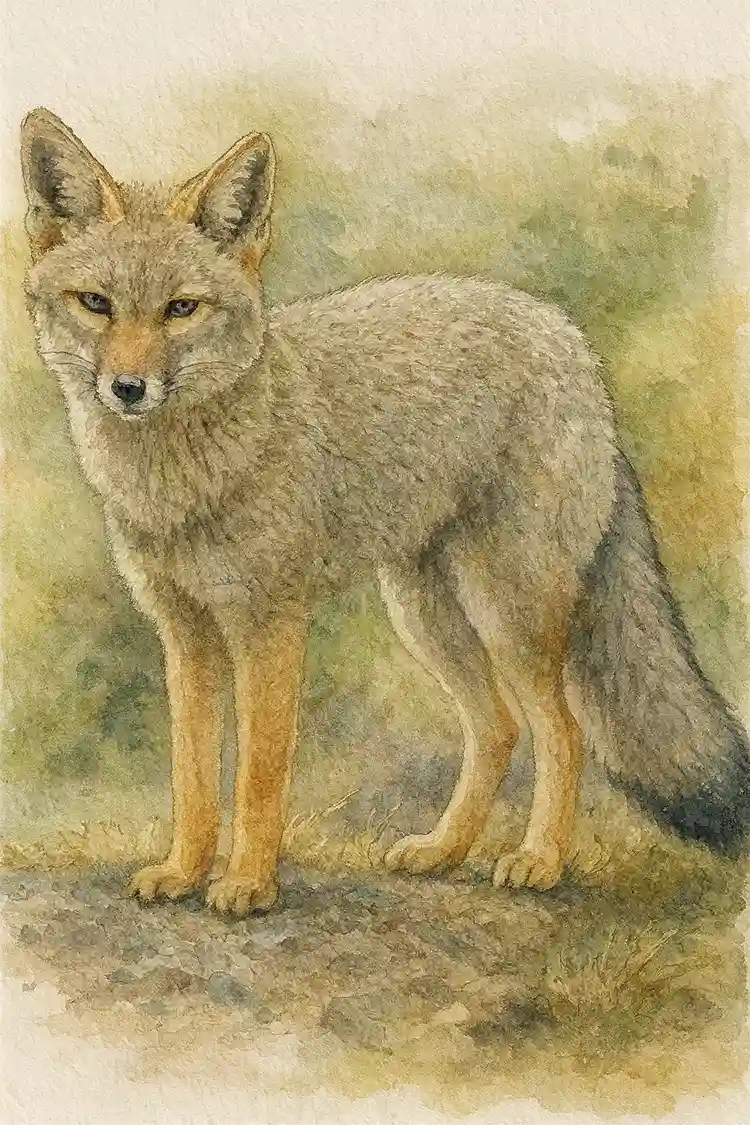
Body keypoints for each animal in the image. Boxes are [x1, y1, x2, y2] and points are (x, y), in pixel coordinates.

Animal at [19, 108, 750, 918]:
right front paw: (183, 870)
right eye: (97, 304)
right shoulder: (186, 632)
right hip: (424, 611)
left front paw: (248, 881)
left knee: (563, 729)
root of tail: (572, 343)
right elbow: (193, 775)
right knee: (498, 728)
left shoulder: (270, 624)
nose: (128, 388)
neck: (183, 484)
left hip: (507, 612)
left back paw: (539, 859)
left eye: (181, 309)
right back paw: (444, 850)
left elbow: (259, 774)